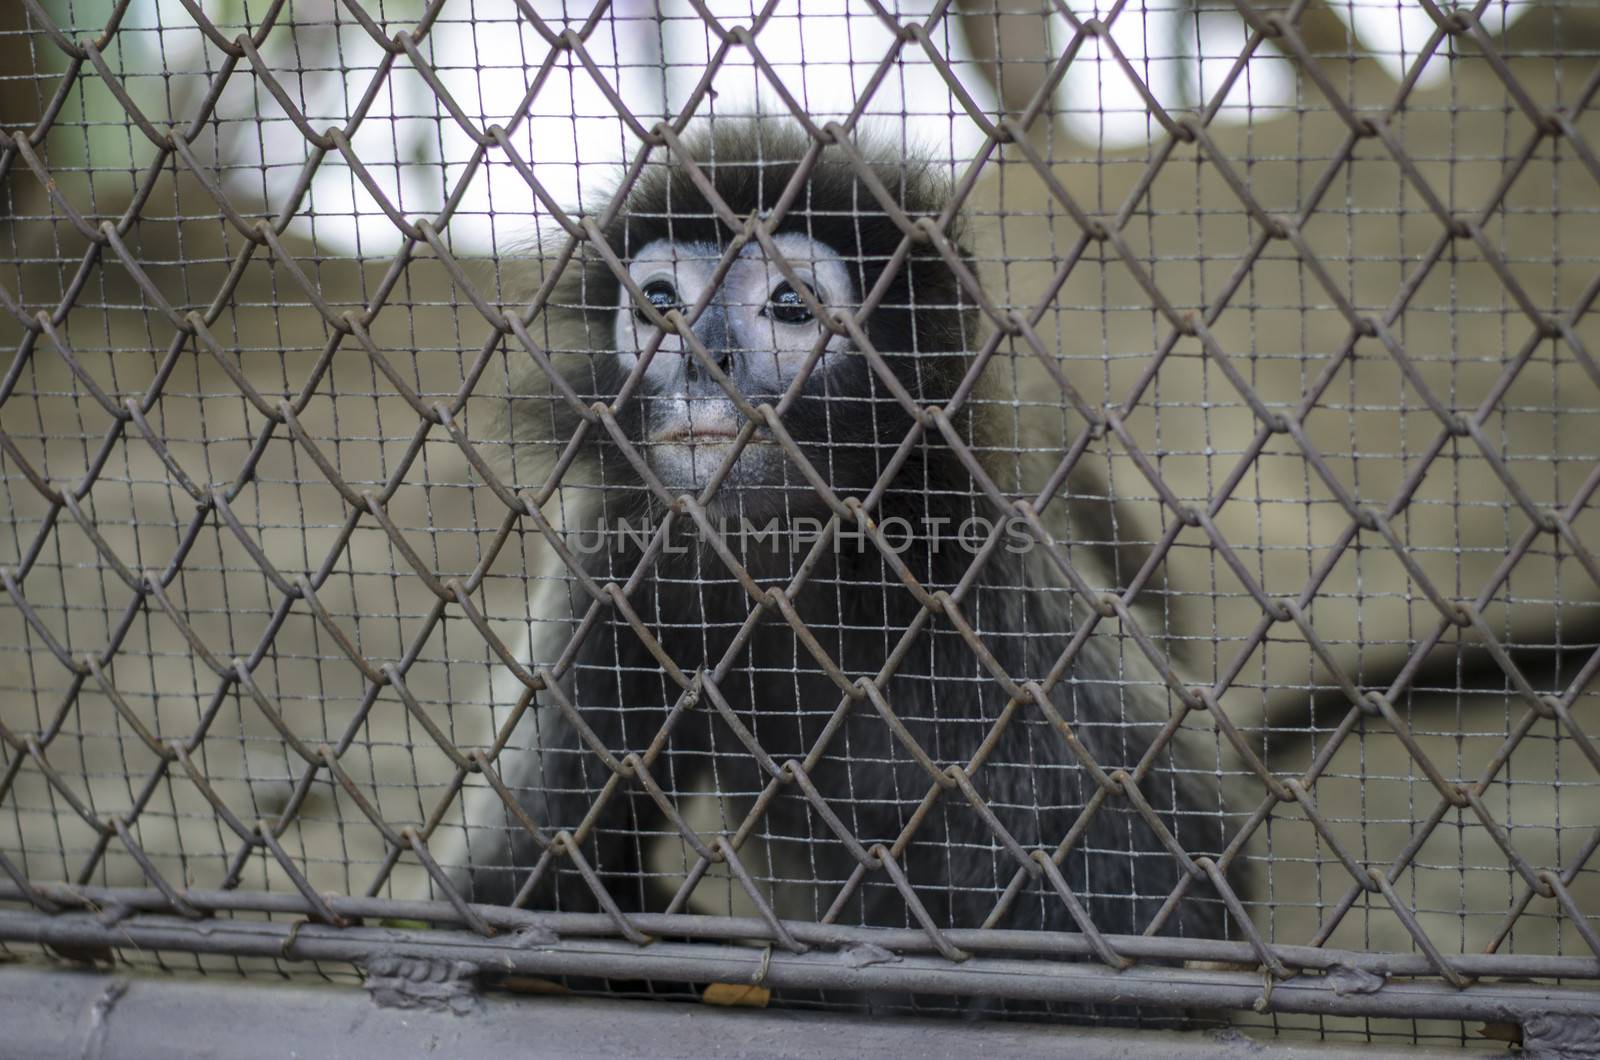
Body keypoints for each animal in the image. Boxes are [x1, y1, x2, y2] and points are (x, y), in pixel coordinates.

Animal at [444, 118, 1241, 1024]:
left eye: (790, 305)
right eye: (661, 304)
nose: (700, 362)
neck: (794, 559)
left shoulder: (996, 571)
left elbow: (1166, 923)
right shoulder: (614, 565)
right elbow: (529, 892)